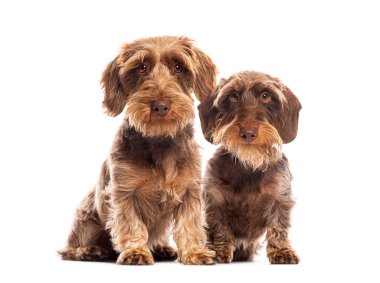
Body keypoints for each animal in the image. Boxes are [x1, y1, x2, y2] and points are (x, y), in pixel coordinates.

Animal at [58, 36, 218, 266]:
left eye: (179, 67)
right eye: (141, 68)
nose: (161, 105)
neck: (159, 140)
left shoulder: (190, 190)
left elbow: (190, 224)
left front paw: (194, 252)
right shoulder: (124, 192)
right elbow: (131, 225)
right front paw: (135, 251)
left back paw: (160, 248)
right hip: (86, 220)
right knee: (70, 249)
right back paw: (90, 251)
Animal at [197, 70, 302, 264]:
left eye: (266, 96)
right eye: (233, 96)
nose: (248, 133)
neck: (248, 165)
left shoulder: (280, 197)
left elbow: (278, 225)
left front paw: (282, 250)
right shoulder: (215, 199)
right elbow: (219, 227)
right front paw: (219, 250)